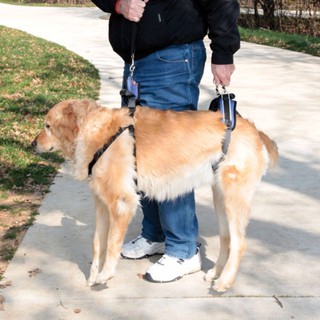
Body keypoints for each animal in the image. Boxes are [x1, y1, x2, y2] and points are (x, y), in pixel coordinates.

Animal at [31, 100, 278, 292]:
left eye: (48, 126)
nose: (32, 144)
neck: (95, 132)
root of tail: (254, 130)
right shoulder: (101, 204)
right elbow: (97, 245)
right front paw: (93, 276)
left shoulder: (121, 204)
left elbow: (110, 245)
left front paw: (106, 274)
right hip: (221, 197)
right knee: (227, 238)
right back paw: (216, 273)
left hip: (233, 198)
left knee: (239, 242)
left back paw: (225, 281)